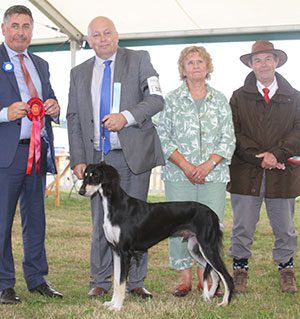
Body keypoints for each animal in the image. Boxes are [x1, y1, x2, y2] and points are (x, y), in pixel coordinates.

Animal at [78, 164, 233, 312]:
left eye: (95, 176)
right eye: (85, 175)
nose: (81, 192)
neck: (116, 205)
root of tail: (213, 214)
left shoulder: (125, 252)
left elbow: (122, 282)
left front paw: (117, 307)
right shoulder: (116, 251)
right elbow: (117, 281)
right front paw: (112, 303)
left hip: (207, 247)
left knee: (226, 276)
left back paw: (225, 303)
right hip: (195, 249)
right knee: (215, 274)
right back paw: (209, 297)